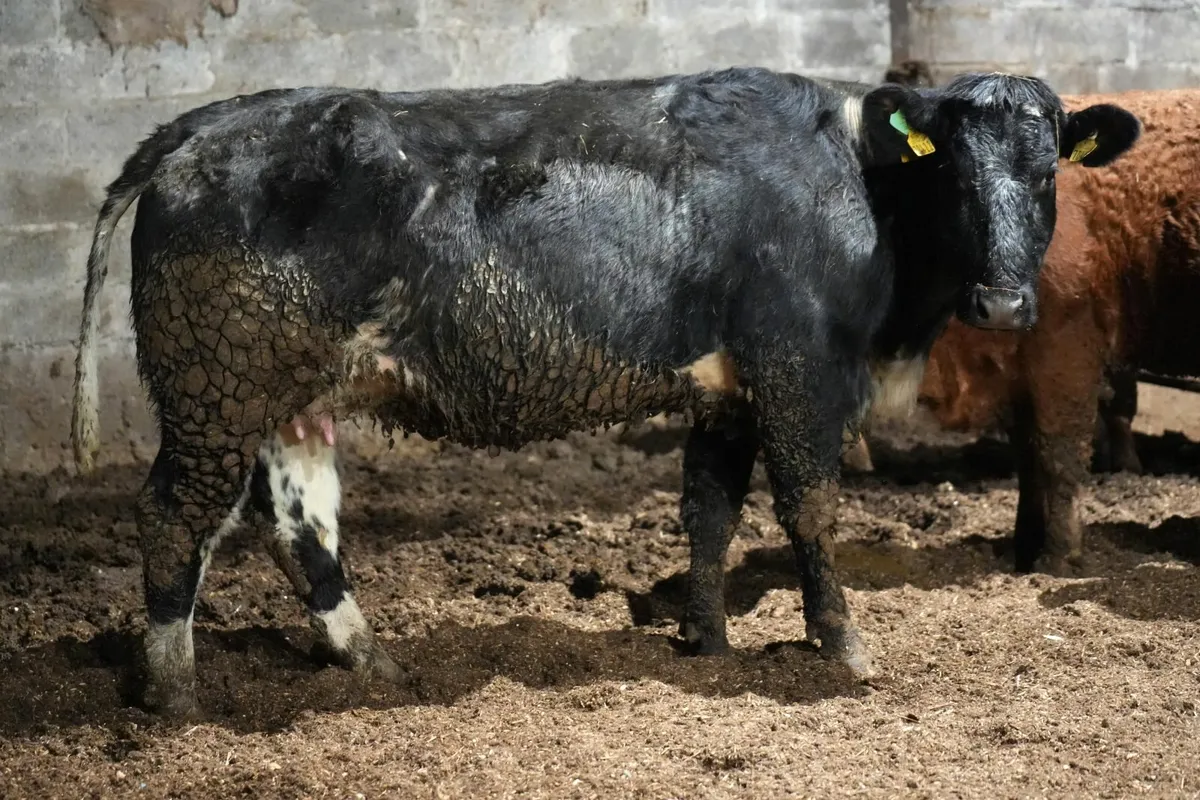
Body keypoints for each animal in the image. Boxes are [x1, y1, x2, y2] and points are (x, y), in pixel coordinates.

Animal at [70, 67, 1139, 717]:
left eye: (1047, 172)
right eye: (953, 168)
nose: (1003, 301)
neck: (857, 185)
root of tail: (207, 123)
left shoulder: (727, 390)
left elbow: (709, 510)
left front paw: (706, 638)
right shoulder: (798, 372)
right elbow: (809, 509)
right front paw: (843, 646)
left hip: (288, 399)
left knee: (300, 526)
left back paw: (372, 662)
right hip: (215, 388)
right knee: (176, 514)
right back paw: (173, 691)